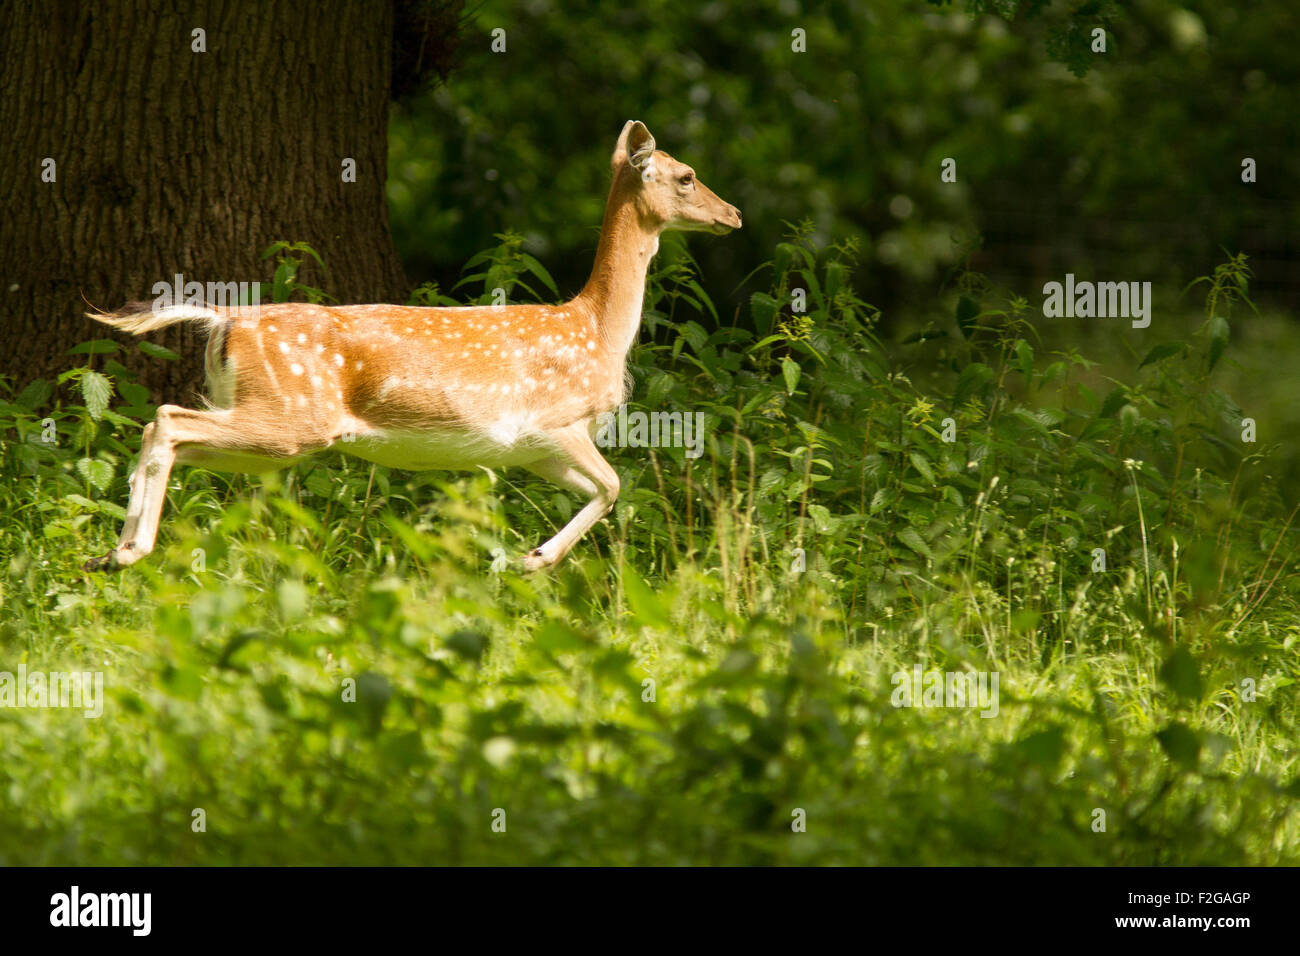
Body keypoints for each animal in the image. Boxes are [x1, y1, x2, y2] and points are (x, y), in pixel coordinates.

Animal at [82, 120, 742, 573]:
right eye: (686, 176)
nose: (734, 213)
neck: (596, 329)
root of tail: (225, 318)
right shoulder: (554, 421)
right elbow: (614, 485)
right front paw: (530, 560)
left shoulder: (532, 451)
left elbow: (601, 490)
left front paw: (527, 559)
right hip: (292, 416)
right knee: (167, 419)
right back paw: (129, 550)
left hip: (258, 422)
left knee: (164, 427)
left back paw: (112, 551)